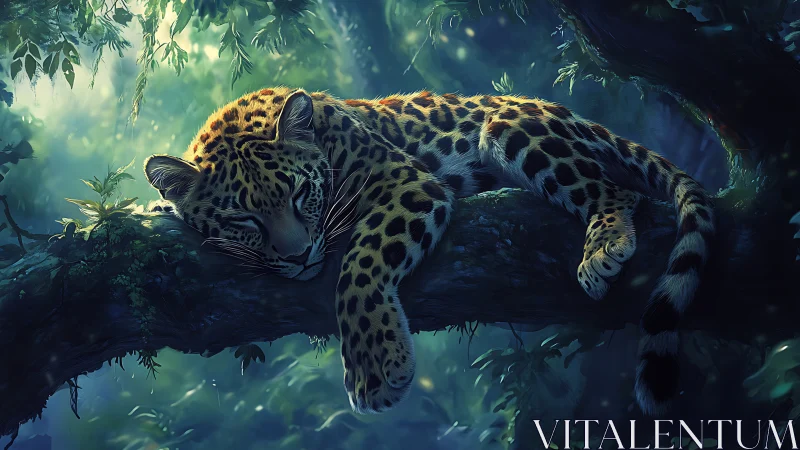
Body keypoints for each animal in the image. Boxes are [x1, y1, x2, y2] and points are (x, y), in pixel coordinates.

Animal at [144, 87, 715, 416]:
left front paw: (376, 365)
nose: (298, 256)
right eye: (244, 220)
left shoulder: (405, 181)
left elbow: (359, 265)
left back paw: (603, 247)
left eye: (300, 193)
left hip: (511, 128)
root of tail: (567, 112)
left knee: (618, 192)